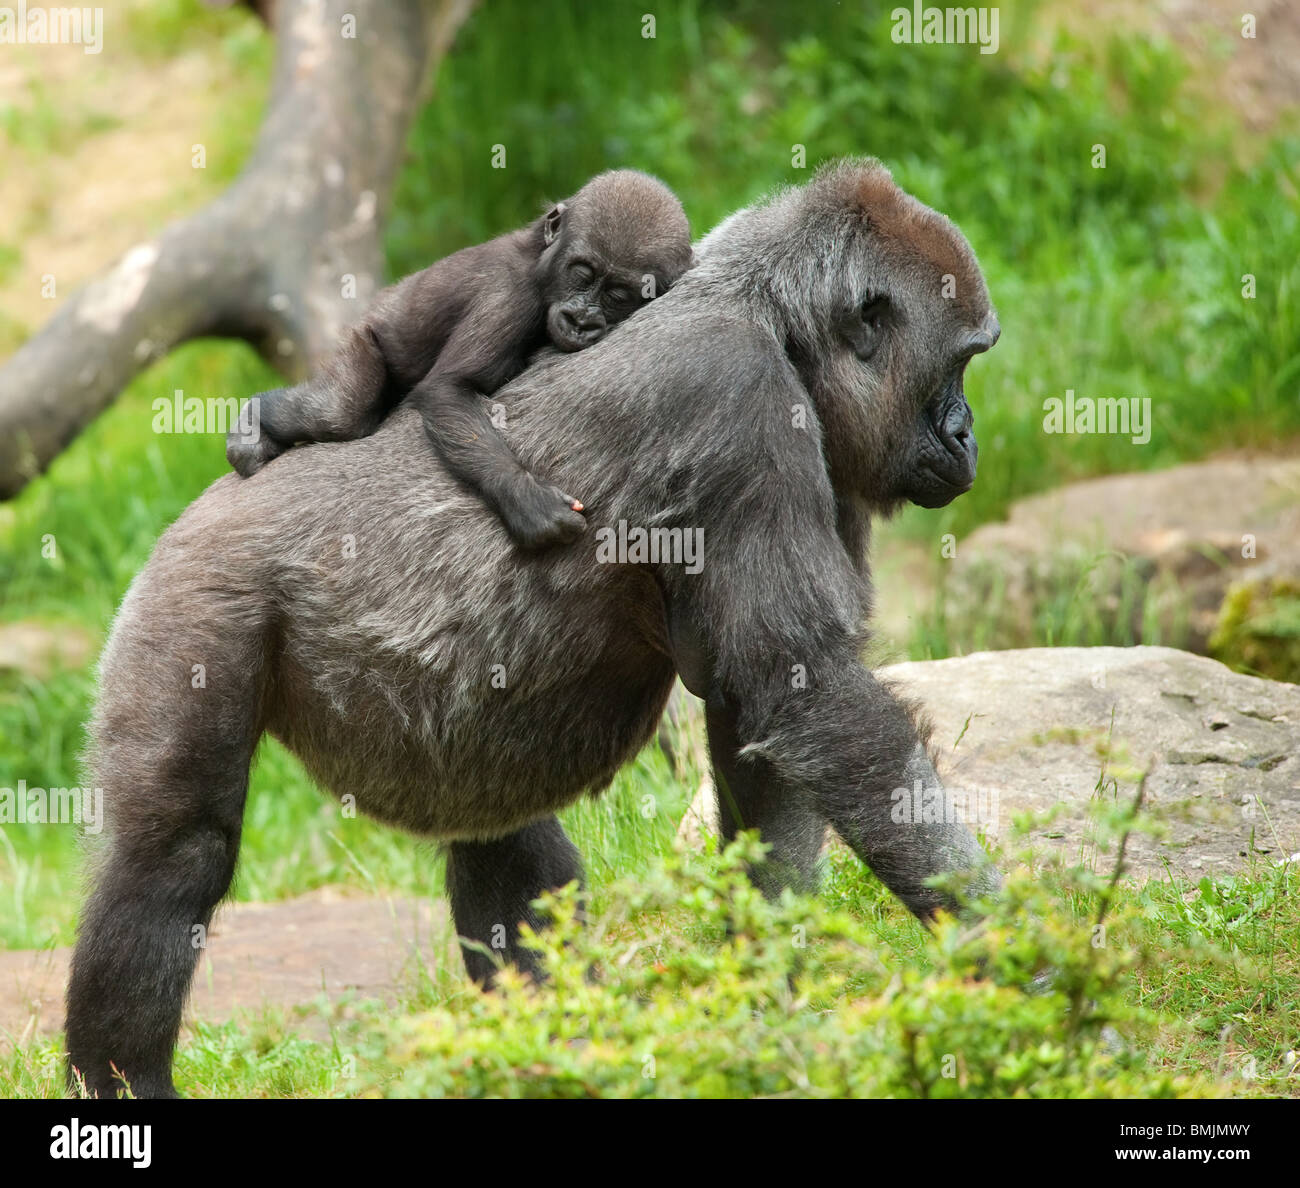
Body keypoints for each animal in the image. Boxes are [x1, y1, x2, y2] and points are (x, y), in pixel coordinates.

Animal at [226, 170, 691, 545]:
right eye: (582, 273)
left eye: (618, 295)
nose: (580, 319)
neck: (541, 261)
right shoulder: (509, 295)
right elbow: (449, 390)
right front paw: (525, 497)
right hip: (365, 335)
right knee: (338, 413)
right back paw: (256, 420)